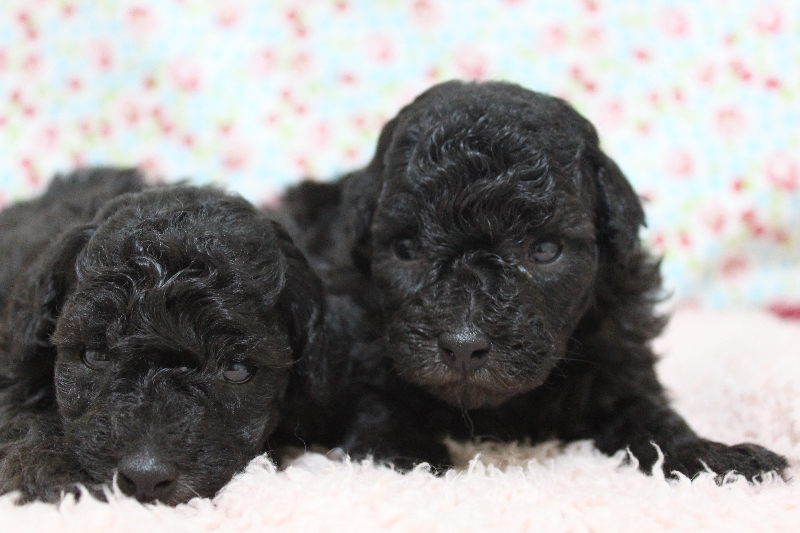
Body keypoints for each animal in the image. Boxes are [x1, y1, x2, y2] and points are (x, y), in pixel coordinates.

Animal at [278, 80, 788, 479]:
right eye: (406, 249)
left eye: (544, 251)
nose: (463, 346)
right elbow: (377, 400)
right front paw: (404, 450)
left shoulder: (616, 356)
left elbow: (653, 419)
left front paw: (710, 456)